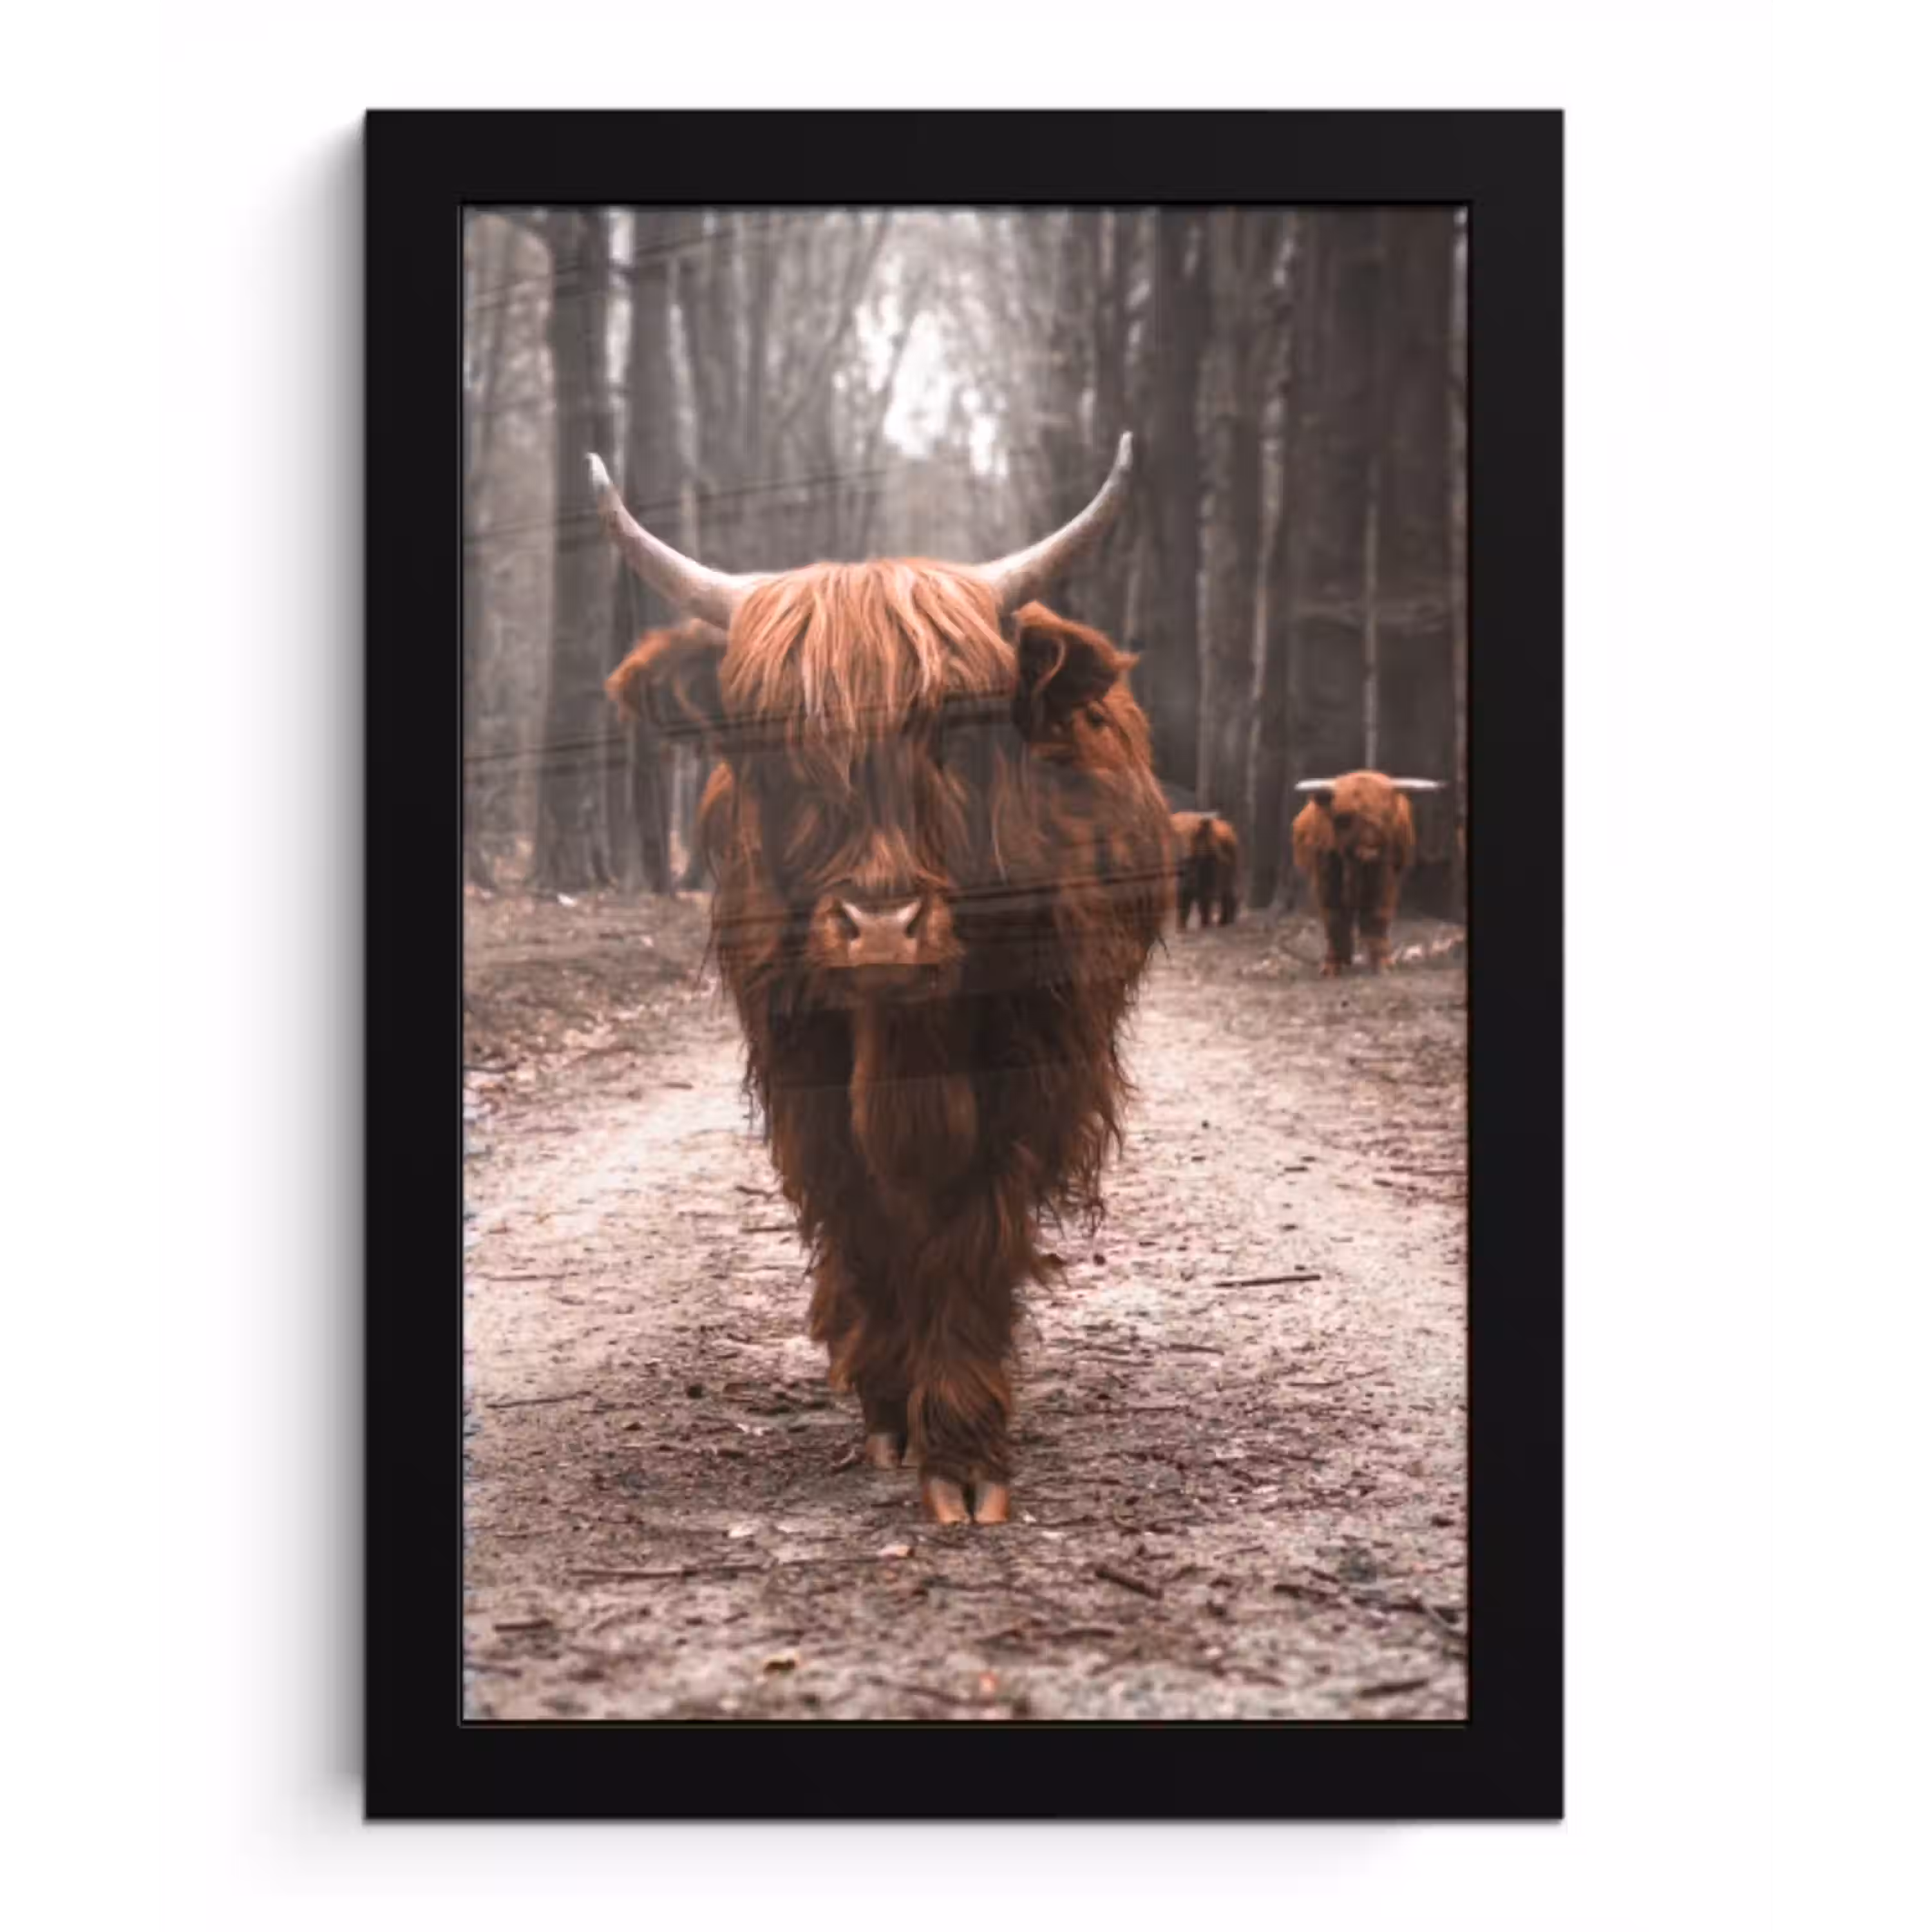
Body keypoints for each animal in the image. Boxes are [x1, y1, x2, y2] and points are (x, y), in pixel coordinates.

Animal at [589, 436, 1173, 1526]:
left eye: (957, 725)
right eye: (775, 737)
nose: (882, 930)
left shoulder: (1031, 1071)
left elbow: (971, 1230)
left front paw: (966, 1452)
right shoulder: (801, 1072)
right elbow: (863, 1217)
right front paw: (894, 1409)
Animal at [1169, 811, 1240, 930]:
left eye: (1195, 835)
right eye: (1175, 836)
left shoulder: (1210, 863)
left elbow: (1205, 896)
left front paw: (1205, 925)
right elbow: (1181, 897)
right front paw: (1180, 929)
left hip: (1233, 862)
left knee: (1226, 889)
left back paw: (1224, 922)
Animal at [1290, 771, 1442, 974]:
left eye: (1385, 817)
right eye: (1344, 819)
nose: (1369, 852)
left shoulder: (1384, 878)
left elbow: (1377, 916)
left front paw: (1383, 964)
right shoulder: (1326, 879)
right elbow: (1334, 918)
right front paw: (1332, 966)